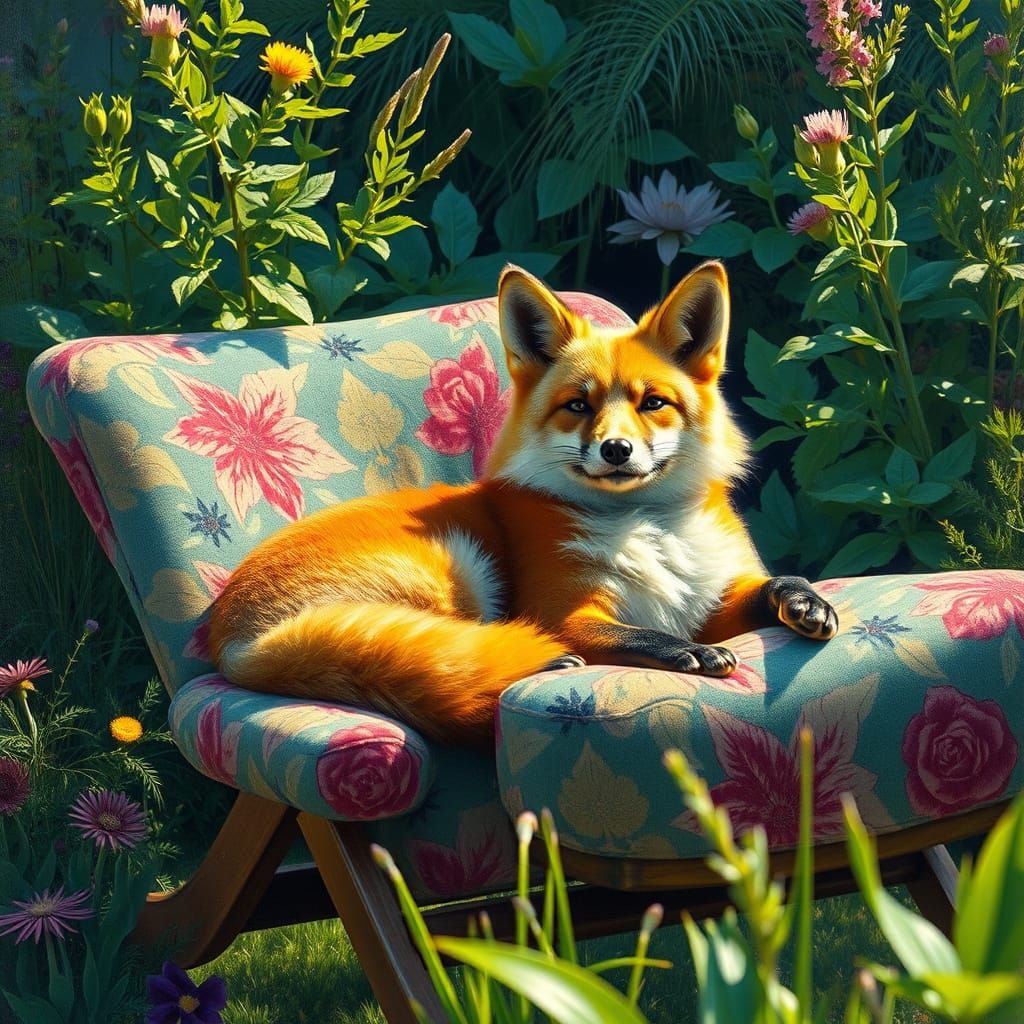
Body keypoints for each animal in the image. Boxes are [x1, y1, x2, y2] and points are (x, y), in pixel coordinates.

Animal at [208, 260, 839, 747]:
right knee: (451, 658)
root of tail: (233, 645)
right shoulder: (560, 612)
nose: (616, 450)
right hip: (457, 570)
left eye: (652, 402)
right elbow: (634, 636)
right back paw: (542, 664)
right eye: (578, 405)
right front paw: (686, 653)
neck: (650, 529)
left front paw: (803, 601)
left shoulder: (707, 604)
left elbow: (772, 585)